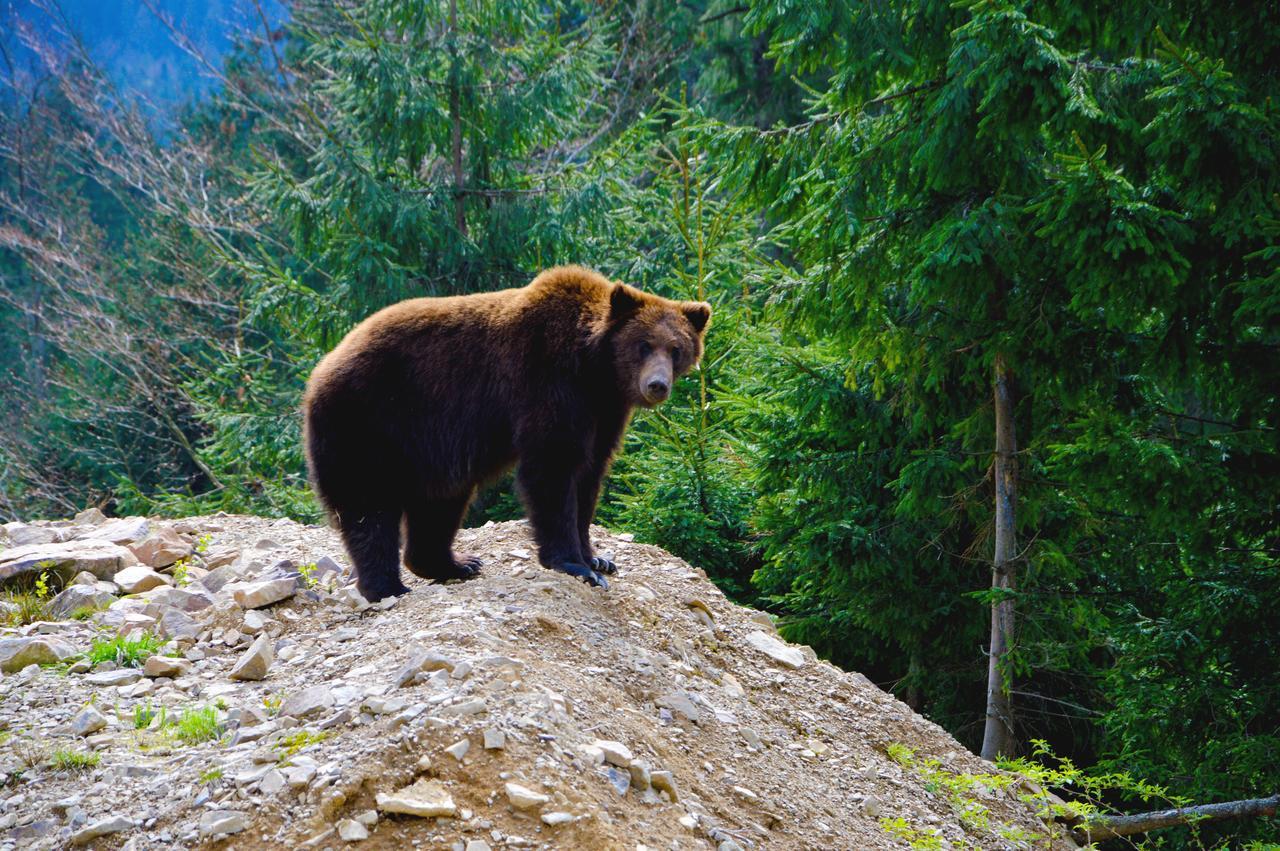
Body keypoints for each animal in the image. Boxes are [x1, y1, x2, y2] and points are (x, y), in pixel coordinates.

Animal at [305, 262, 716, 601]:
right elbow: (553, 466)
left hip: (430, 449)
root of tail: (323, 367)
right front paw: (575, 564)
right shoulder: (547, 380)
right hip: (369, 421)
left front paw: (598, 559)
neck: (594, 369)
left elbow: (590, 473)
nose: (656, 385)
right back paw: (387, 586)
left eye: (676, 348)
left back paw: (456, 563)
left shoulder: (604, 412)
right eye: (643, 345)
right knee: (368, 507)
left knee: (440, 502)